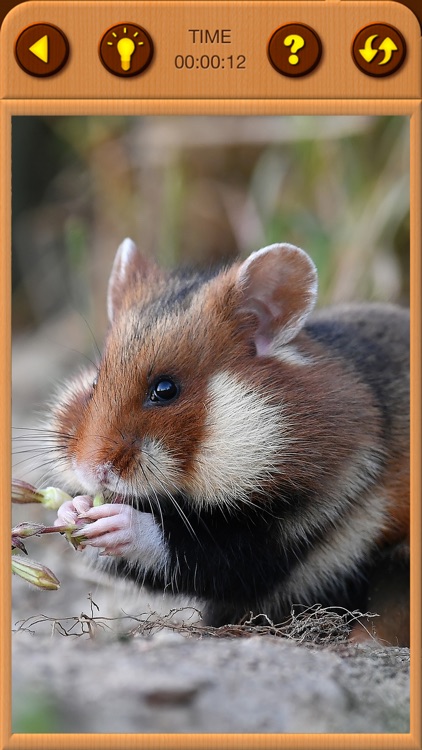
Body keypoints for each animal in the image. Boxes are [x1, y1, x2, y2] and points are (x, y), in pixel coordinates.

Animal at [52, 238, 410, 645]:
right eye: (96, 382)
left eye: (165, 389)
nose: (90, 471)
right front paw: (71, 510)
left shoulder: (293, 528)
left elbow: (201, 554)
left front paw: (113, 520)